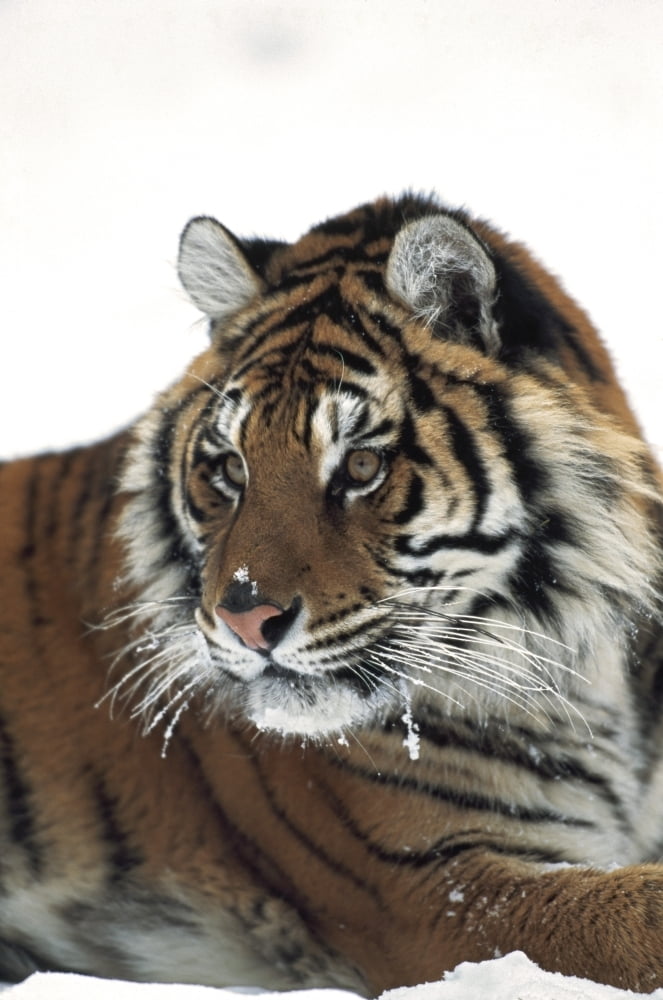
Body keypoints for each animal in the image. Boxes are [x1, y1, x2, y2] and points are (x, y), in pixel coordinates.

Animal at [1, 193, 662, 996]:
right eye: (230, 468)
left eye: (361, 467)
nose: (246, 619)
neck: (590, 672)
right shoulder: (431, 890)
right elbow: (631, 913)